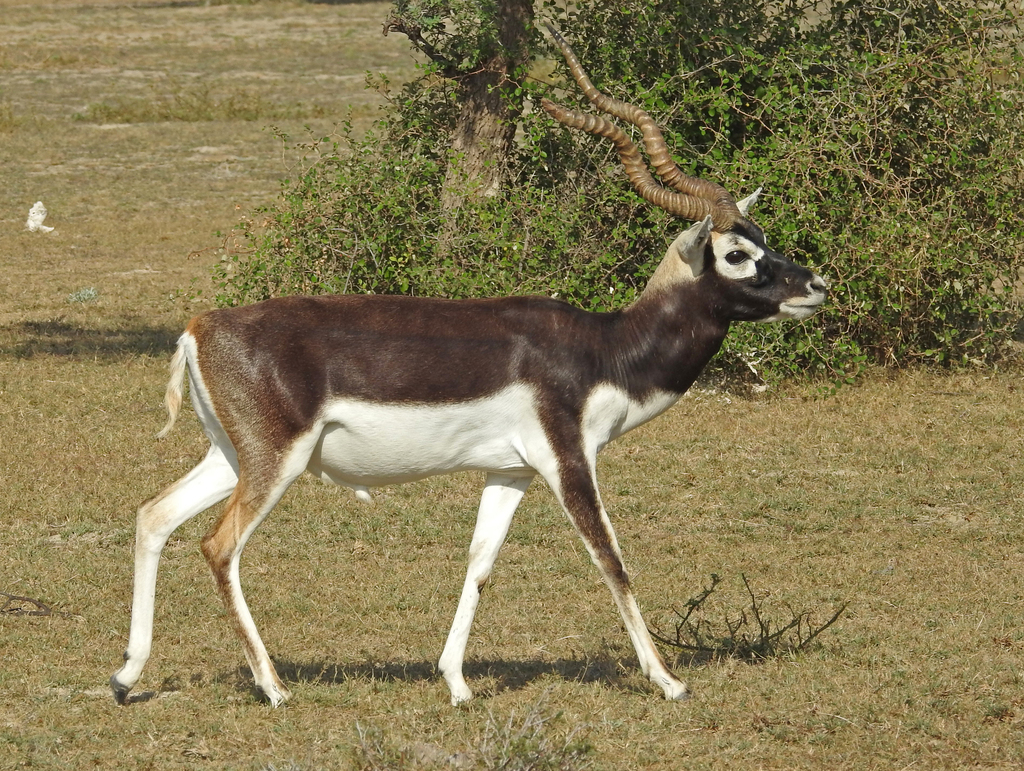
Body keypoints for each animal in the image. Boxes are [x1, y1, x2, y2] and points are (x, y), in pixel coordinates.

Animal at [110, 30, 823, 708]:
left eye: (764, 238)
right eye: (736, 253)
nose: (814, 285)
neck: (604, 346)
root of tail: (201, 327)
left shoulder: (510, 471)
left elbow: (479, 564)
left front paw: (455, 682)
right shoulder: (568, 459)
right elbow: (611, 560)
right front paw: (669, 681)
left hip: (234, 455)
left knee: (153, 515)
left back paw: (125, 677)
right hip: (276, 461)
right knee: (218, 546)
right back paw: (274, 687)